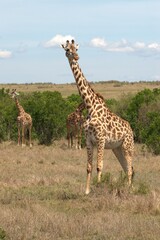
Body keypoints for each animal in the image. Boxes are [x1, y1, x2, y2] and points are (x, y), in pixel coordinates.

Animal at [62, 40, 134, 195]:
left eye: (76, 49)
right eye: (67, 50)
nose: (76, 57)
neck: (90, 106)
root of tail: (131, 129)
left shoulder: (101, 139)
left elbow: (99, 166)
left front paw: (99, 187)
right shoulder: (89, 141)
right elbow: (89, 167)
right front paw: (87, 191)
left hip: (127, 146)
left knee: (130, 168)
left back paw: (130, 189)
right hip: (117, 148)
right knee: (127, 168)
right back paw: (128, 188)